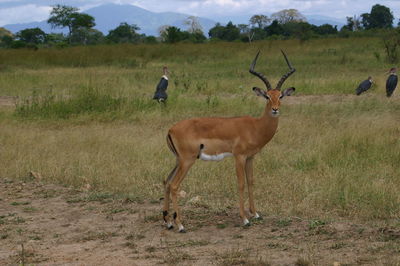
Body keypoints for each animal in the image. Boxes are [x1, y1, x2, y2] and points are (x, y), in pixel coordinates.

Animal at [162, 50, 296, 233]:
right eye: (267, 96)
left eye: (280, 95)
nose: (275, 109)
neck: (255, 126)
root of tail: (171, 129)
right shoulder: (239, 157)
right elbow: (240, 183)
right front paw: (245, 219)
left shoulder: (250, 157)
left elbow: (251, 182)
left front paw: (256, 214)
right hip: (187, 160)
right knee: (174, 185)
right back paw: (180, 225)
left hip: (178, 160)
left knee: (167, 182)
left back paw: (168, 222)